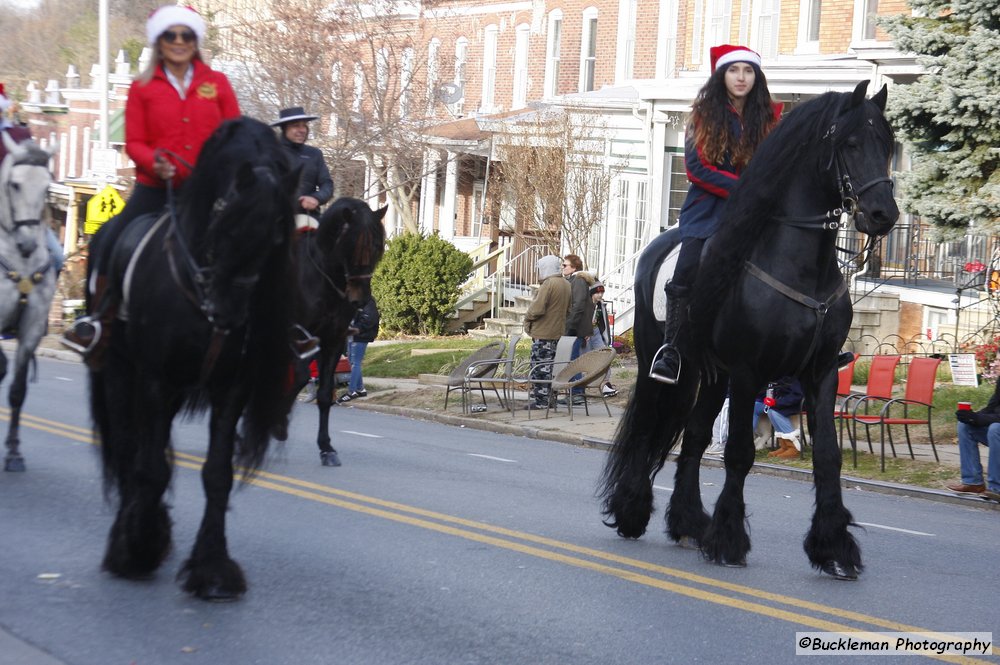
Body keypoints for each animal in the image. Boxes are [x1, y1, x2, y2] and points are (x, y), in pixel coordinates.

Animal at [90, 116, 298, 600]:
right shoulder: (154, 379)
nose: (227, 312)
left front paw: (213, 568)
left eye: (276, 235)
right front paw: (139, 547)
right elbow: (150, 466)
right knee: (128, 449)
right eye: (225, 217)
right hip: (119, 372)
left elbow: (217, 474)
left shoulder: (230, 390)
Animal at [290, 200, 386, 464]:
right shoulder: (298, 338)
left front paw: (326, 448)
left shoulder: (332, 340)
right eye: (351, 244)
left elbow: (324, 394)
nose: (360, 299)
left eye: (377, 246)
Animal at [600, 80, 900, 580]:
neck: (804, 265)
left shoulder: (820, 373)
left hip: (711, 374)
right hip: (661, 362)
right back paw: (633, 511)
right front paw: (729, 539)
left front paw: (833, 546)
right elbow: (740, 452)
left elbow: (828, 456)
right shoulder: (748, 372)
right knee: (649, 427)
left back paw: (687, 521)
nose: (882, 215)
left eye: (889, 146)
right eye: (851, 144)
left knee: (695, 435)